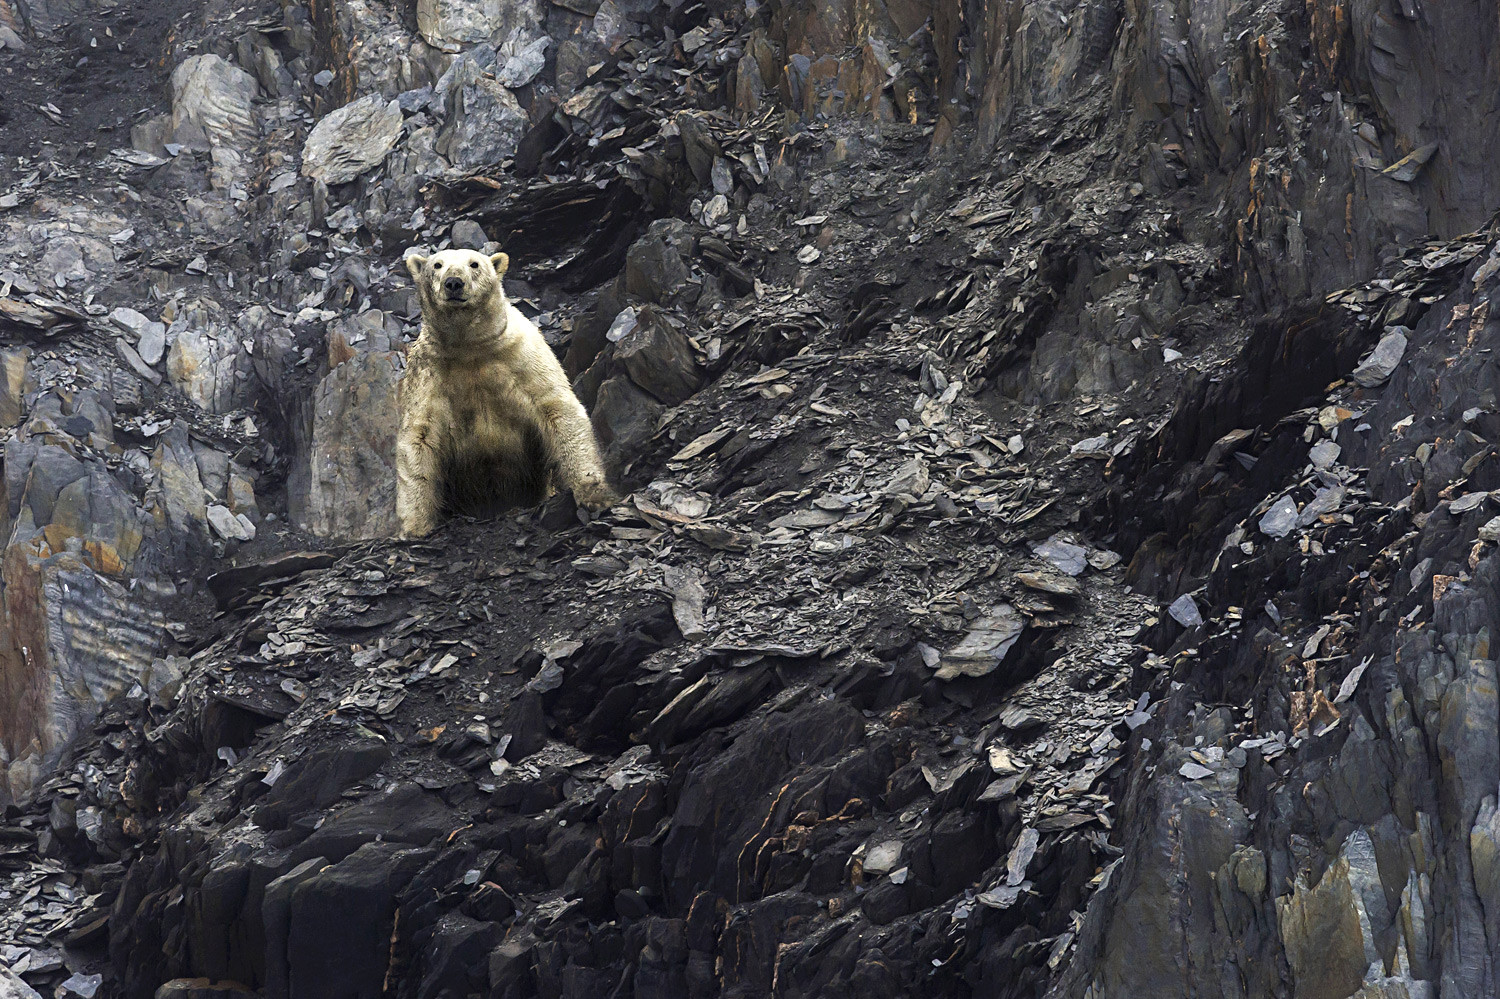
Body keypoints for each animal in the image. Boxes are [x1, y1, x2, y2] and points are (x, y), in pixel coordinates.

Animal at [396, 247, 618, 538]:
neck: (469, 347)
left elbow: (557, 407)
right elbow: (419, 435)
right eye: (437, 265)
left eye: (474, 264)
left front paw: (594, 494)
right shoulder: (428, 374)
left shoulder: (522, 356)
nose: (454, 282)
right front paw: (415, 526)